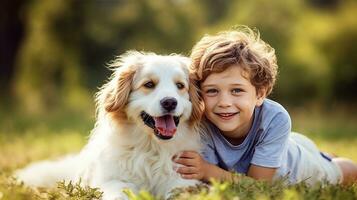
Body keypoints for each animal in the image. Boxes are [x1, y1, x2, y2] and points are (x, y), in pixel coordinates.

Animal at [15, 50, 204, 200]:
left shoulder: (181, 180)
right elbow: (120, 192)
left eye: (180, 86)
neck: (151, 147)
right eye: (149, 84)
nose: (170, 102)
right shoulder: (113, 180)